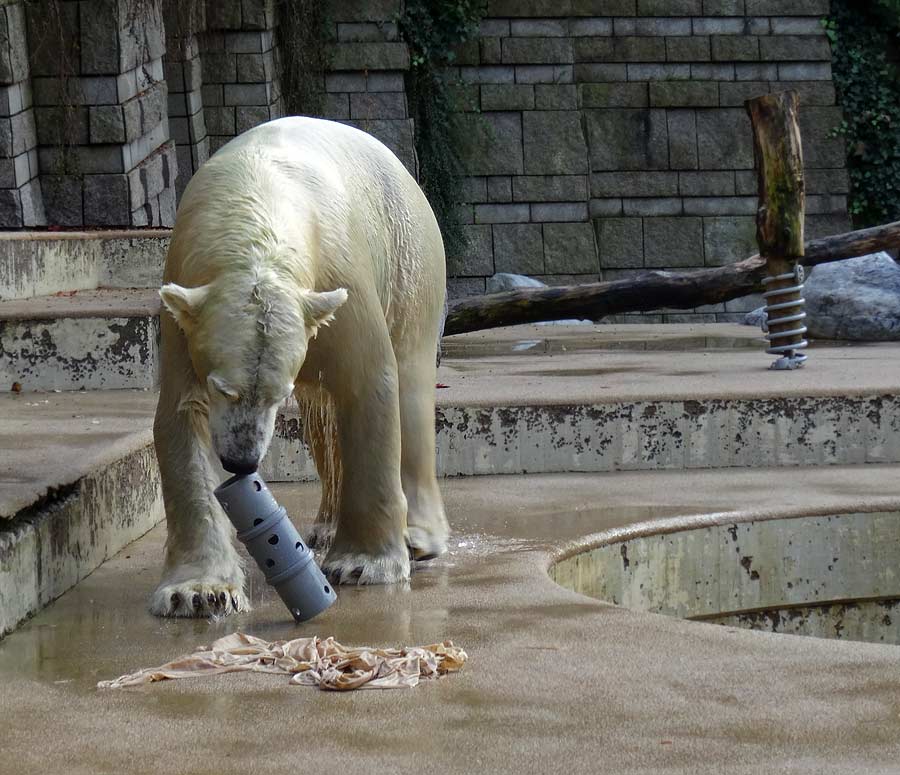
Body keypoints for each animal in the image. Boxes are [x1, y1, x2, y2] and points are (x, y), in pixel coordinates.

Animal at [153, 115, 450, 620]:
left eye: (275, 395)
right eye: (224, 389)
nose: (241, 460)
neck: (256, 205)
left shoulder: (341, 275)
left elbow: (368, 382)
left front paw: (362, 564)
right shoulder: (184, 303)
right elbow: (182, 413)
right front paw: (198, 591)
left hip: (409, 254)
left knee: (410, 381)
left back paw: (418, 538)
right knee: (320, 418)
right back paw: (326, 527)